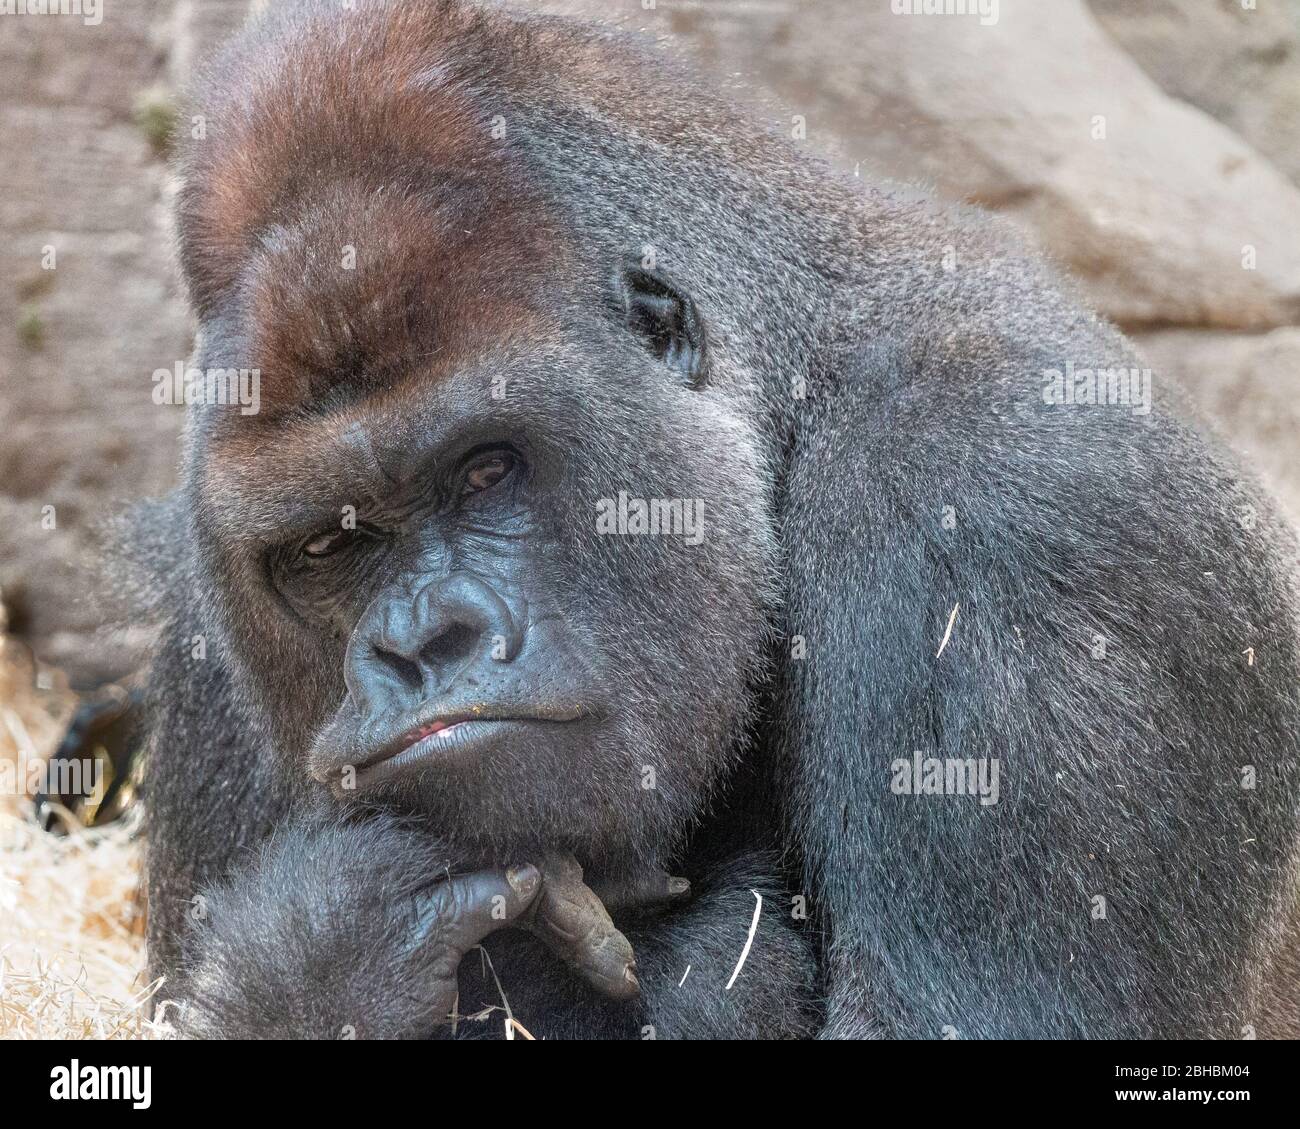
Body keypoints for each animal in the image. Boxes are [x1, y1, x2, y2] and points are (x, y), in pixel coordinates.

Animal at [131, 0, 1300, 1040]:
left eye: (486, 470)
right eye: (330, 542)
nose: (423, 645)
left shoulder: (1013, 486)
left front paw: (317, 942)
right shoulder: (198, 634)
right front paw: (317, 954)